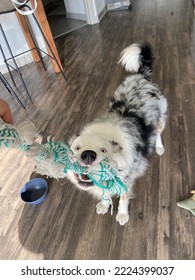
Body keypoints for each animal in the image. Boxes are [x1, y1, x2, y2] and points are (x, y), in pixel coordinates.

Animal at [67, 42, 168, 225]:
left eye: (104, 150)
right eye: (77, 148)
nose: (88, 155)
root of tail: (142, 76)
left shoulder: (126, 179)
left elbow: (122, 198)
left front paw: (122, 214)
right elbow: (105, 193)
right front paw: (104, 204)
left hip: (161, 118)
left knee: (157, 132)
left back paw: (158, 147)